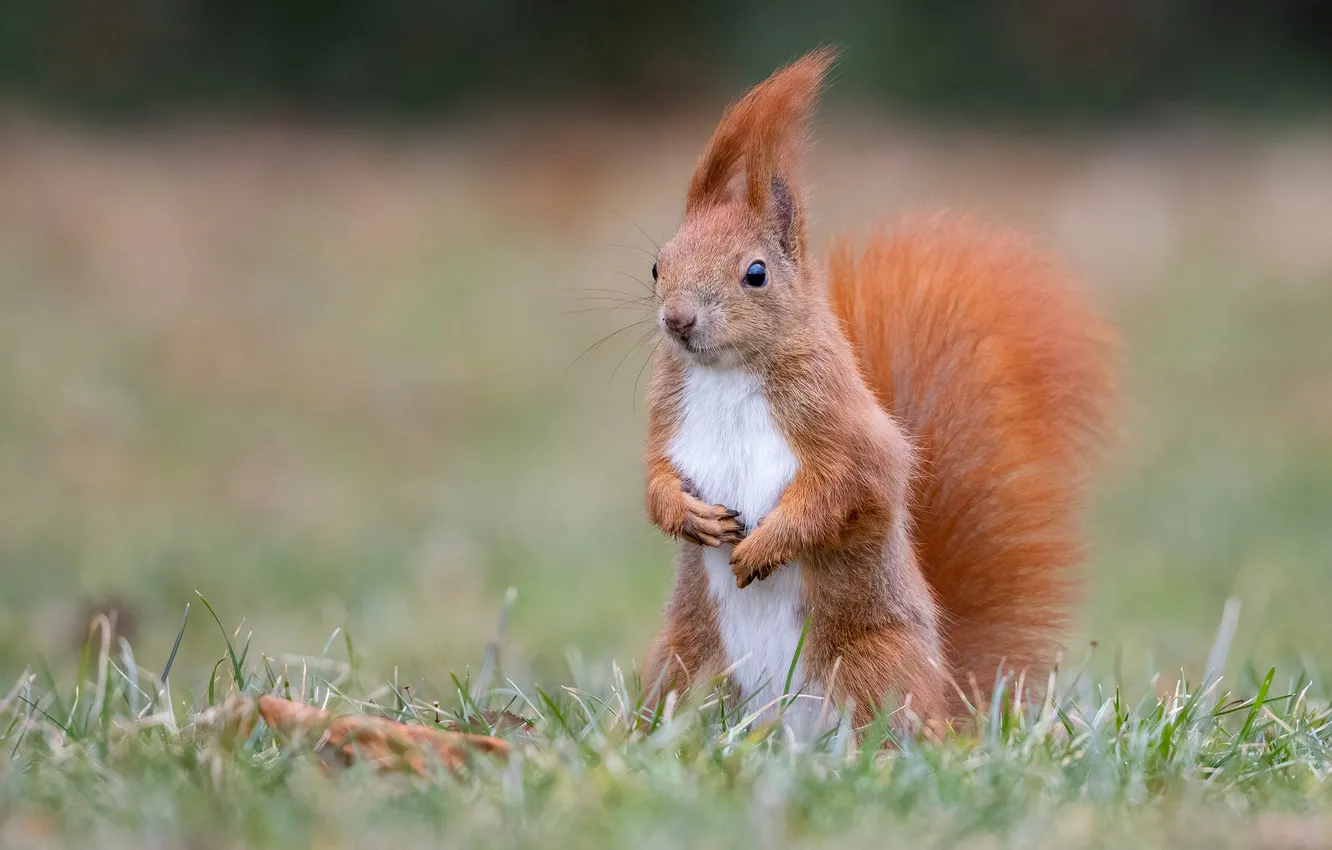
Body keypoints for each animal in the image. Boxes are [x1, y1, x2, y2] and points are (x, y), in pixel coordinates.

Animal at [640, 47, 1118, 734]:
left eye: (756, 273)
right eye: (658, 265)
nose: (677, 320)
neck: (728, 375)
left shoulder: (844, 428)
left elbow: (849, 490)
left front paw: (766, 546)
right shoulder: (667, 418)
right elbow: (655, 477)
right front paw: (684, 513)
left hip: (873, 663)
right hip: (684, 660)